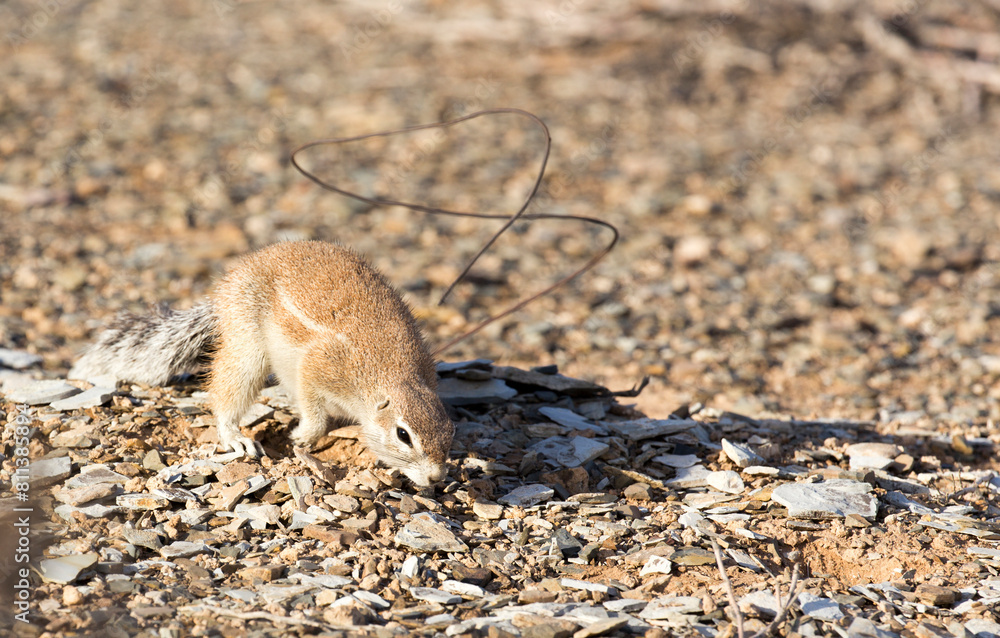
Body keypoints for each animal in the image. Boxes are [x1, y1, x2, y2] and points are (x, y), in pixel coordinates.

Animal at [69, 240, 454, 487]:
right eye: (403, 435)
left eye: (450, 433)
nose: (436, 477)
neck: (394, 377)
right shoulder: (319, 367)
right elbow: (313, 413)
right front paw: (301, 436)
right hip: (248, 346)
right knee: (227, 391)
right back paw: (235, 435)